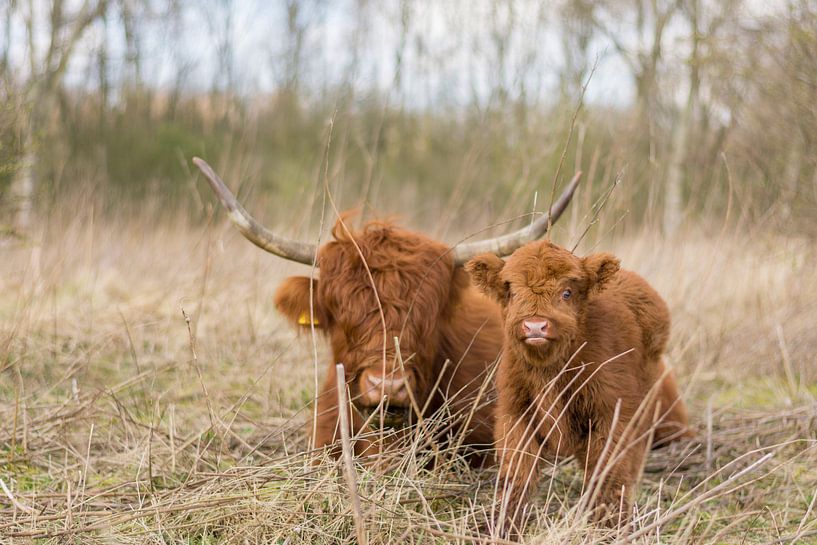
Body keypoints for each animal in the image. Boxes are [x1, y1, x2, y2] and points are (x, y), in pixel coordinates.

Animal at [468, 240, 692, 532]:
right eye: (512, 292)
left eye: (567, 292)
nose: (535, 326)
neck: (550, 371)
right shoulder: (515, 414)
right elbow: (516, 474)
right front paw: (504, 526)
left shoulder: (611, 415)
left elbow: (609, 473)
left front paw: (611, 527)